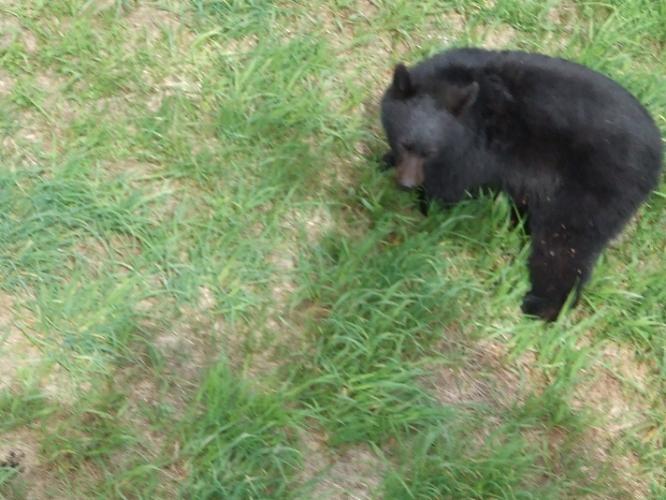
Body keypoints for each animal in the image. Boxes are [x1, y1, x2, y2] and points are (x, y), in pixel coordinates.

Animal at [380, 48, 663, 321]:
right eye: (405, 143)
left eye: (430, 152)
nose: (406, 184)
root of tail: (657, 158)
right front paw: (386, 160)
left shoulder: (476, 150)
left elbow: (454, 183)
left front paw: (427, 204)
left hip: (596, 186)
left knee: (565, 242)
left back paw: (542, 306)